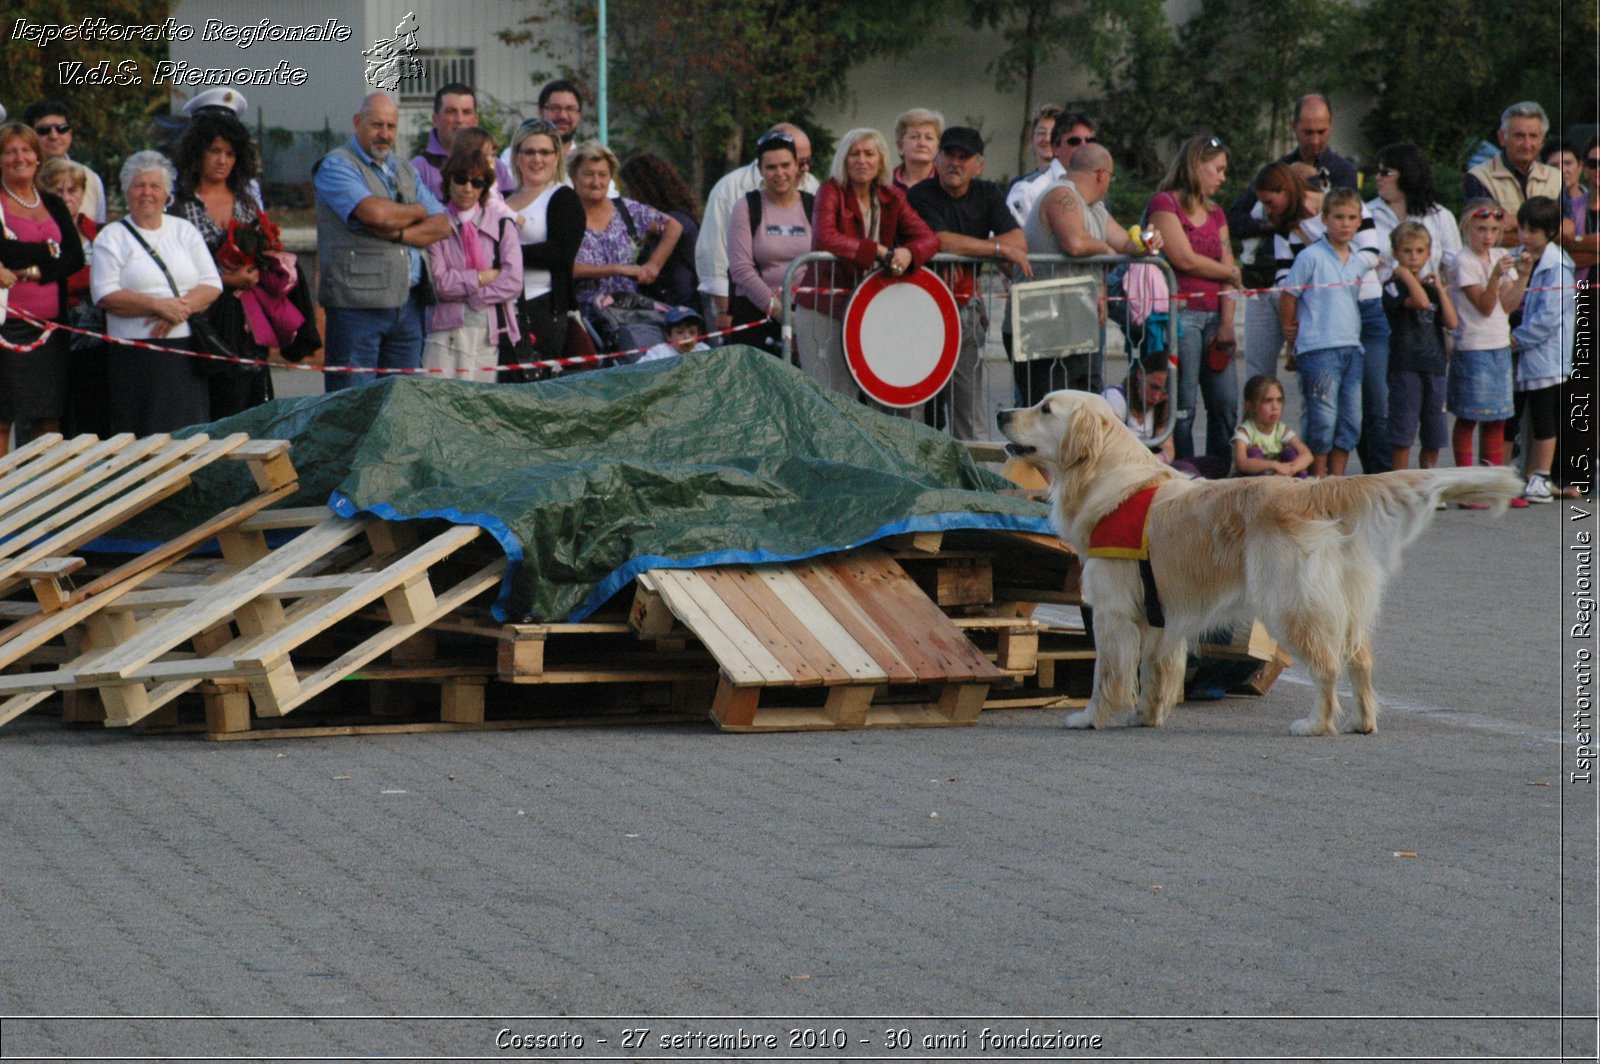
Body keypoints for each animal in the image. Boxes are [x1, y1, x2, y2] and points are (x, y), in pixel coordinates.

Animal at [992, 392, 1516, 739]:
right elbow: (1158, 670)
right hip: (1345, 605)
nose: (1000, 412)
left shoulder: (1112, 610)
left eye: (1045, 408)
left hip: (1289, 603)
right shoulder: (1164, 615)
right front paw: (1148, 715)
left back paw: (1317, 724)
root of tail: (1312, 488)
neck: (1106, 474)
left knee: (1327, 666)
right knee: (1360, 660)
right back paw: (1361, 722)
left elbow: (1108, 674)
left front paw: (1091, 717)